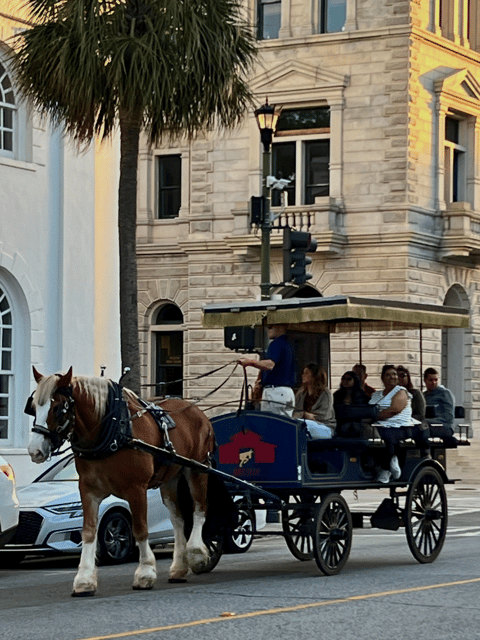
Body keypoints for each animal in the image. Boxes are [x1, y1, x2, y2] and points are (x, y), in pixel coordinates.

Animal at [26, 368, 214, 596]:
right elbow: (89, 531)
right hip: (169, 478)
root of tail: (197, 411)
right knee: (177, 519)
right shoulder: (88, 490)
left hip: (197, 469)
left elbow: (140, 529)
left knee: (199, 508)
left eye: (57, 408)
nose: (35, 450)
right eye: (33, 407)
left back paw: (196, 553)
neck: (114, 431)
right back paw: (178, 567)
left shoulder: (136, 489)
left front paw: (145, 573)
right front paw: (84, 579)